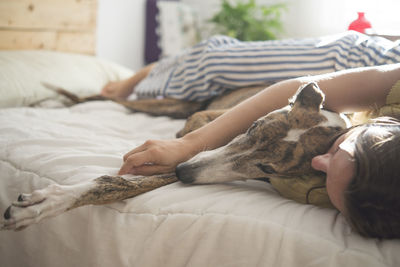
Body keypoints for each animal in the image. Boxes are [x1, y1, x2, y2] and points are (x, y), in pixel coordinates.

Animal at [1, 82, 346, 231]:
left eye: (267, 168)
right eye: (253, 126)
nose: (184, 172)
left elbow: (122, 182)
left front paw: (52, 201)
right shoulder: (204, 125)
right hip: (170, 104)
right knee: (103, 97)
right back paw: (52, 101)